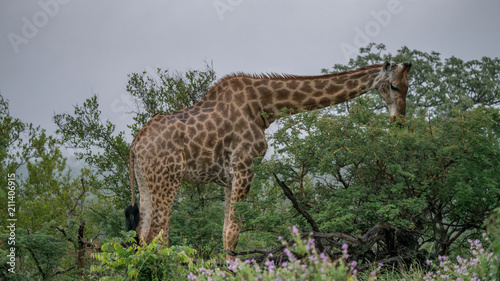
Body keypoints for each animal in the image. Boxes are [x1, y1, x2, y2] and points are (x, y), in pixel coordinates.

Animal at [127, 61, 412, 256]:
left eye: (409, 87)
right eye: (394, 85)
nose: (399, 120)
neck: (264, 107)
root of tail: (135, 145)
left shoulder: (229, 177)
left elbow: (226, 230)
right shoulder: (245, 166)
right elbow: (233, 232)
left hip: (146, 182)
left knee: (141, 234)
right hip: (168, 178)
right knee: (157, 235)